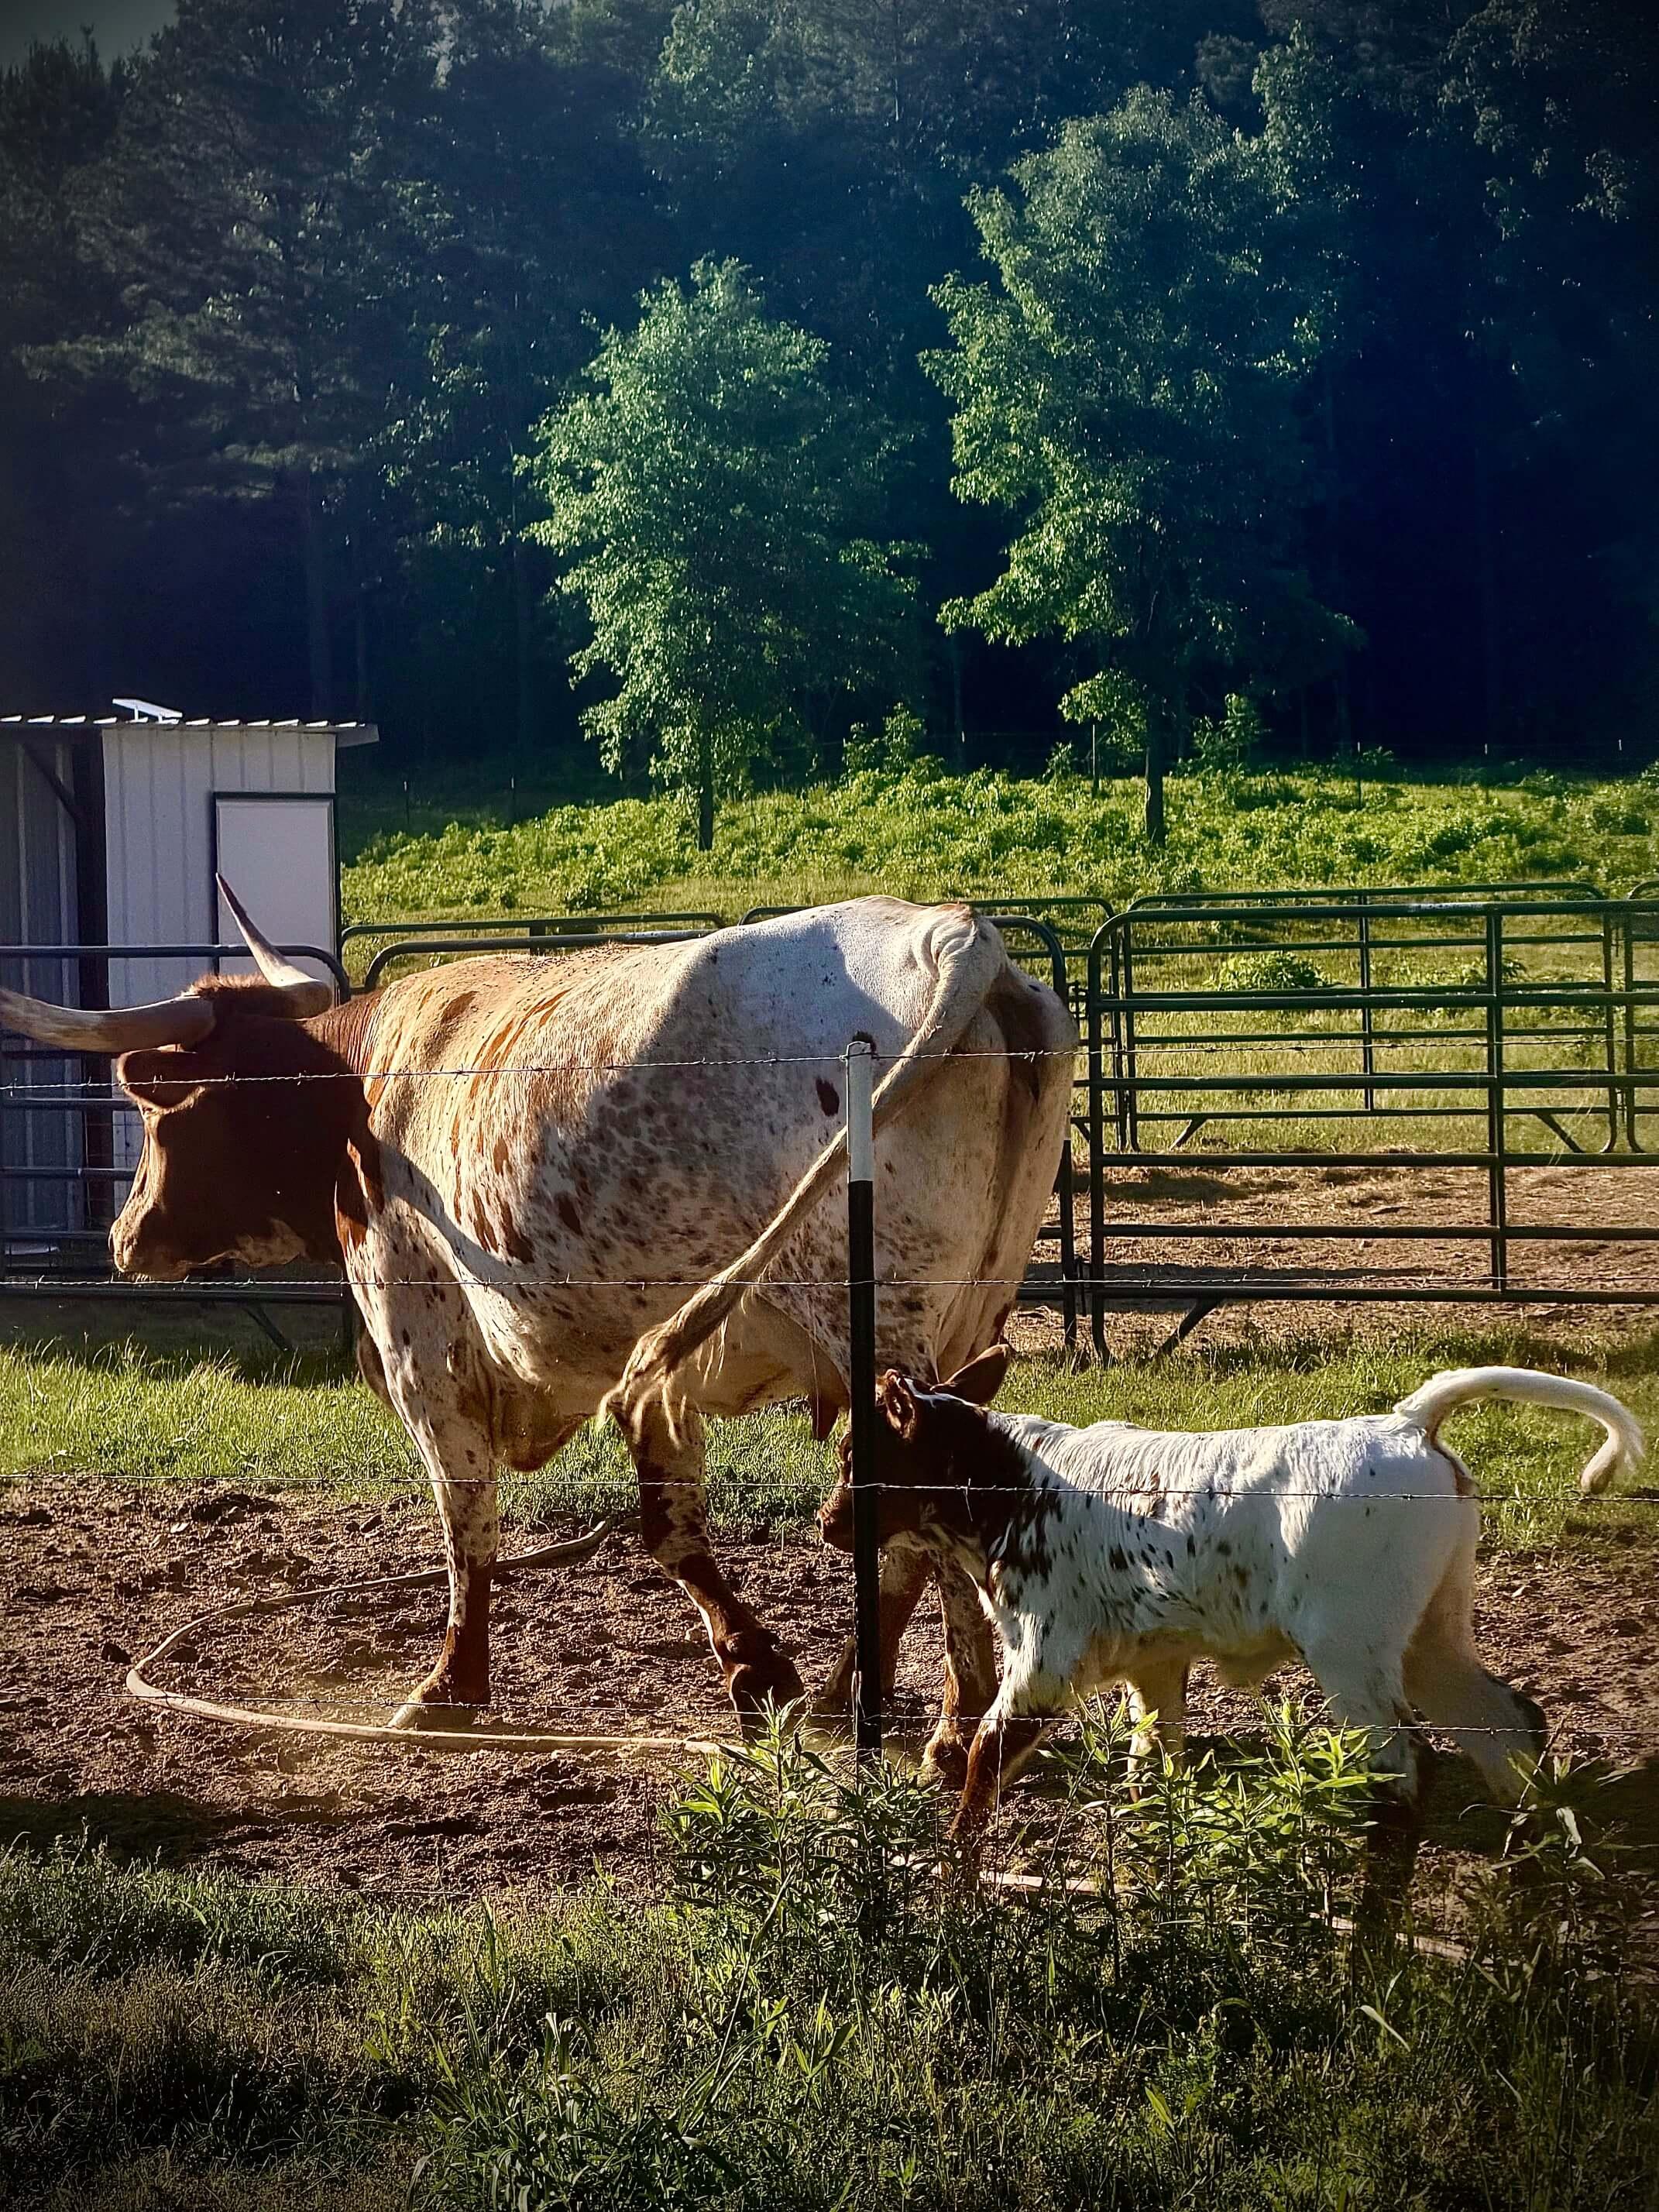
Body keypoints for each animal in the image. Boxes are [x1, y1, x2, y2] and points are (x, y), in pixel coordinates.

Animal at [0, 892, 1075, 1772]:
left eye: (160, 1115)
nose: (125, 1235)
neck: (367, 1090)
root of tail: (950, 932)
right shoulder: (658, 1374)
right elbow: (671, 1526)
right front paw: (760, 1674)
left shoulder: (419, 1336)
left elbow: (466, 1516)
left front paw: (450, 1686)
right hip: (968, 1320)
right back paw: (904, 1705)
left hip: (878, 1327)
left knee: (920, 1516)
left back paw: (946, 1722)